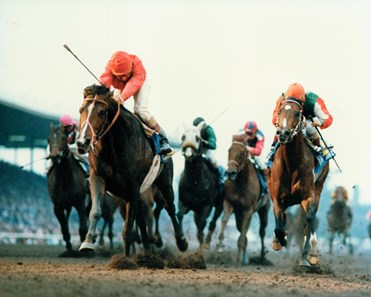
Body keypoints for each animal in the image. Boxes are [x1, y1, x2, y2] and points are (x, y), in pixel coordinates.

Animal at [47, 123, 88, 251]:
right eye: (48, 139)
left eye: (64, 138)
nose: (55, 156)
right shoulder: (57, 207)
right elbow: (64, 228)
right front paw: (69, 246)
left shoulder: (80, 203)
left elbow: (83, 228)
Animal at [76, 84, 187, 256]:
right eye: (81, 110)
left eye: (101, 112)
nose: (82, 142)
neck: (114, 147)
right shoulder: (98, 178)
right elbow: (95, 211)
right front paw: (87, 243)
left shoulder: (133, 187)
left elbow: (128, 230)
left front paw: (126, 259)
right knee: (141, 218)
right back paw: (147, 252)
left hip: (164, 182)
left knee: (170, 207)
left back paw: (180, 242)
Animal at [215, 133, 270, 262]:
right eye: (229, 150)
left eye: (242, 153)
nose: (231, 172)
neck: (240, 184)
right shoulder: (229, 202)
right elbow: (224, 219)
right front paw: (219, 246)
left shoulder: (248, 210)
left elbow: (244, 232)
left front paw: (238, 259)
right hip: (238, 215)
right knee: (242, 231)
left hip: (264, 210)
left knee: (262, 231)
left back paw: (262, 254)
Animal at [268, 97, 332, 266]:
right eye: (279, 111)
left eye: (297, 113)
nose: (283, 133)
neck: (291, 164)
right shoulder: (277, 197)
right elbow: (279, 223)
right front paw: (280, 240)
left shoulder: (308, 196)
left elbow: (310, 218)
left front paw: (312, 254)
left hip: (319, 188)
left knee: (308, 222)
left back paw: (305, 256)